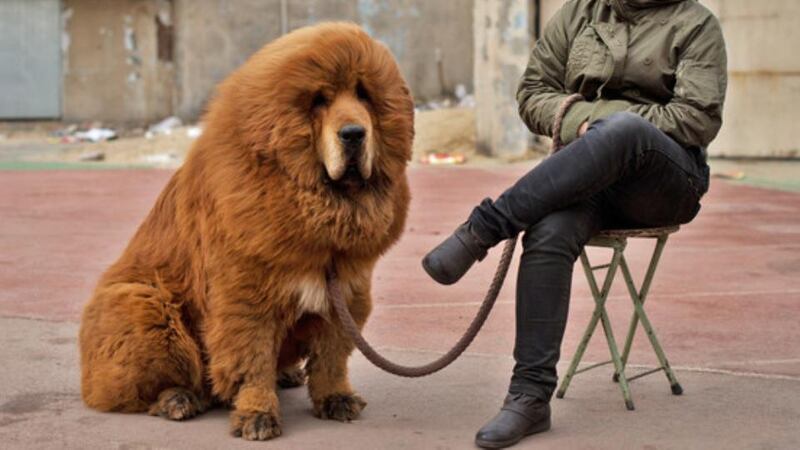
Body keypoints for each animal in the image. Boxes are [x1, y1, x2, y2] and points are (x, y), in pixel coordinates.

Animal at [79, 22, 413, 441]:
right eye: (319, 100)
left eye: (364, 95)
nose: (353, 133)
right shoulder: (246, 298)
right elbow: (250, 361)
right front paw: (257, 415)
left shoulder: (348, 292)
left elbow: (331, 357)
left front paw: (335, 398)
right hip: (143, 305)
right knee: (146, 386)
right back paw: (178, 399)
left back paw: (286, 375)